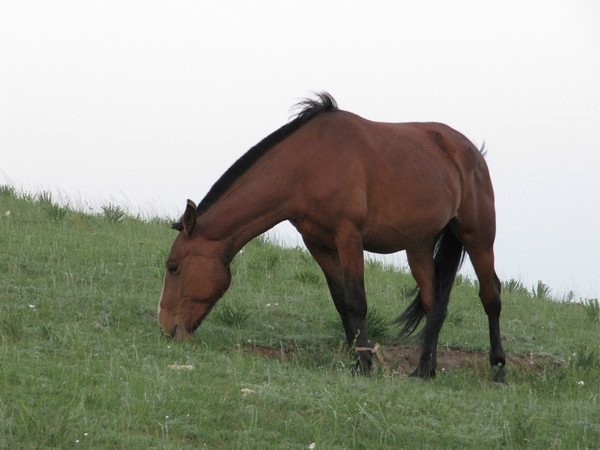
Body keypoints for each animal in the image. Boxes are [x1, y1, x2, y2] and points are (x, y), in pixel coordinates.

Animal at [158, 93, 506, 382]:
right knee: (434, 303)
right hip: (418, 246)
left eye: (173, 266)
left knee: (491, 295)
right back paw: (424, 369)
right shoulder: (318, 243)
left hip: (478, 236)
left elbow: (356, 300)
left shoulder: (348, 236)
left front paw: (364, 364)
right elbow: (341, 302)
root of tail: (473, 153)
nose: (166, 328)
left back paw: (498, 369)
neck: (307, 165)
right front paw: (356, 361)